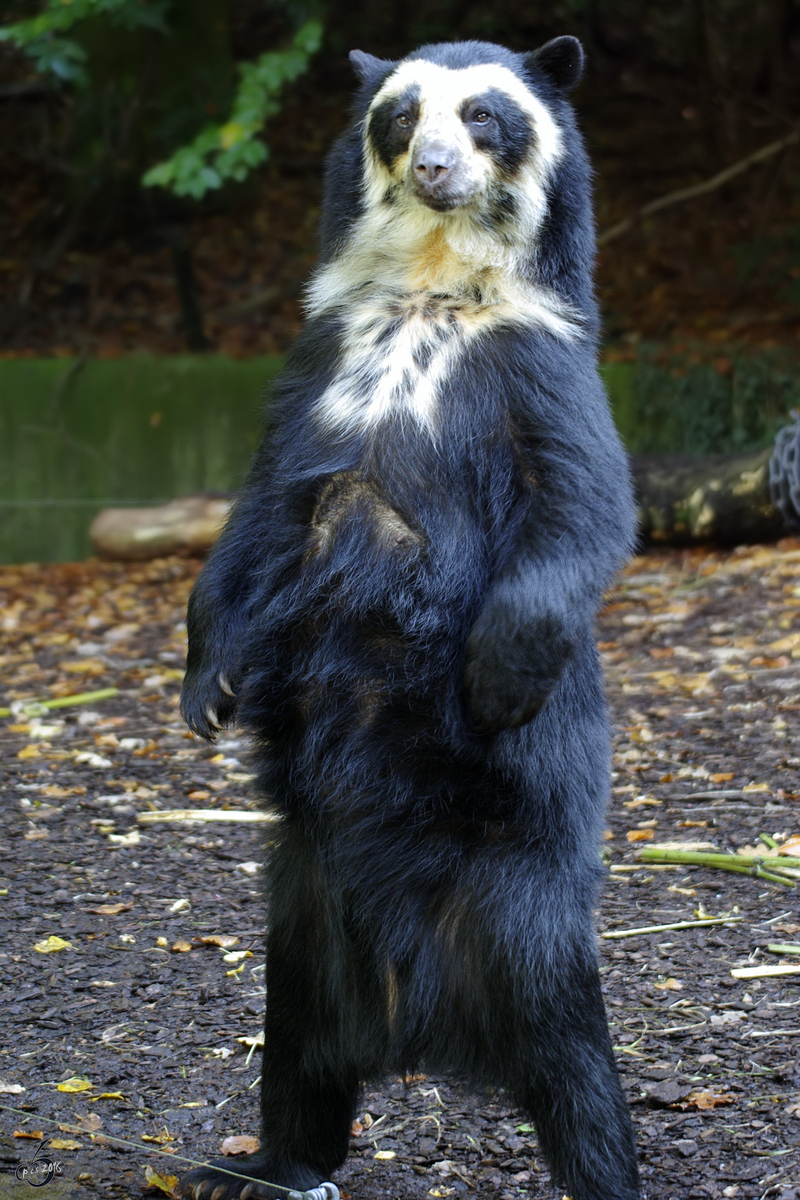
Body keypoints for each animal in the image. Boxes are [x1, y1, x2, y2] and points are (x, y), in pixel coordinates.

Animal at [178, 32, 642, 1200]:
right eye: (398, 117)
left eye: (483, 116)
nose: (433, 166)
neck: (430, 291)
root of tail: (416, 1024)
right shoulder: (321, 361)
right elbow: (256, 515)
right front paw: (206, 690)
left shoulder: (534, 365)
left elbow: (583, 504)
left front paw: (498, 676)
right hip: (300, 920)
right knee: (296, 1058)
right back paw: (264, 1165)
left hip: (523, 905)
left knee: (577, 1069)